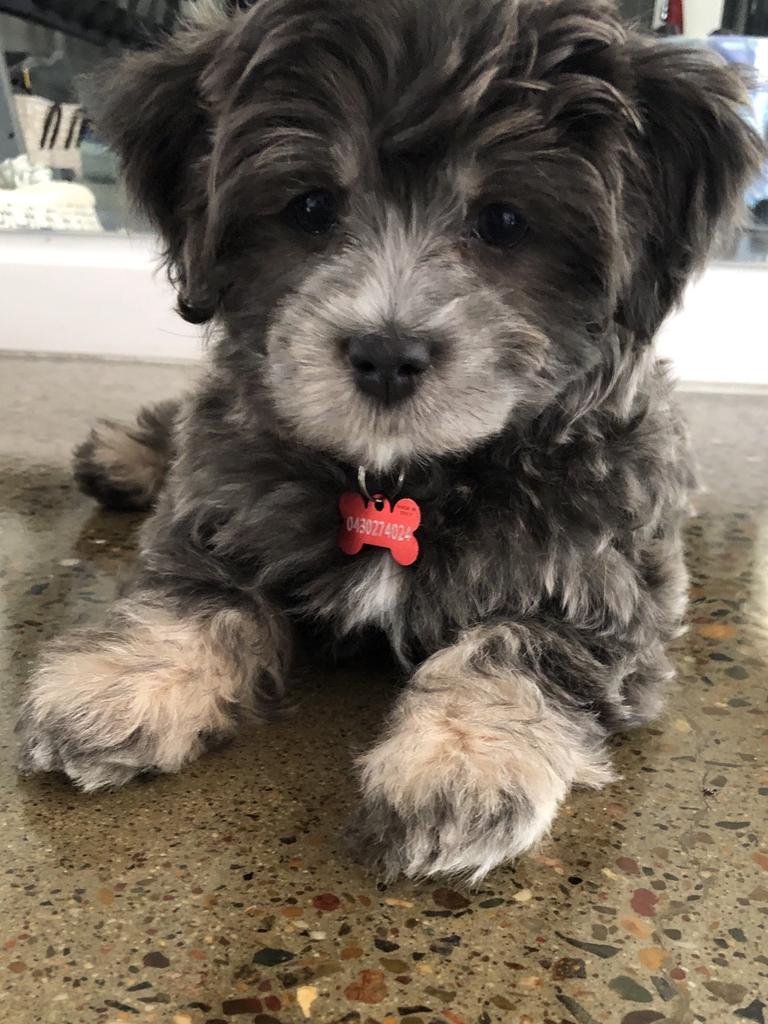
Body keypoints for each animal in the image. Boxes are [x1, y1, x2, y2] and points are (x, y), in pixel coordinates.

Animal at [15, 0, 765, 880]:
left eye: (503, 221)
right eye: (311, 208)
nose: (385, 353)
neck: (400, 481)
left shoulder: (611, 573)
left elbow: (522, 640)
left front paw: (463, 760)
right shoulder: (231, 491)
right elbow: (199, 587)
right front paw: (119, 678)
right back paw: (124, 457)